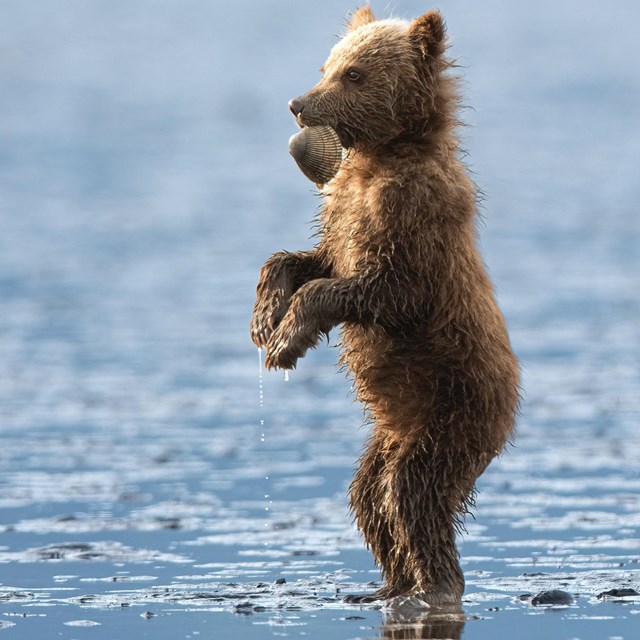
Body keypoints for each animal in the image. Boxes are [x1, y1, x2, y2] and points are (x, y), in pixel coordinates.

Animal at [250, 6, 520, 606]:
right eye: (326, 65)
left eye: (354, 74)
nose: (297, 103)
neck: (383, 156)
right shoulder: (340, 212)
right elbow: (306, 260)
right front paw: (264, 320)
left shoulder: (411, 223)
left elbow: (376, 290)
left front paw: (287, 341)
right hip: (390, 433)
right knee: (368, 497)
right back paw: (385, 586)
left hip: (452, 412)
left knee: (413, 493)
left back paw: (434, 585)